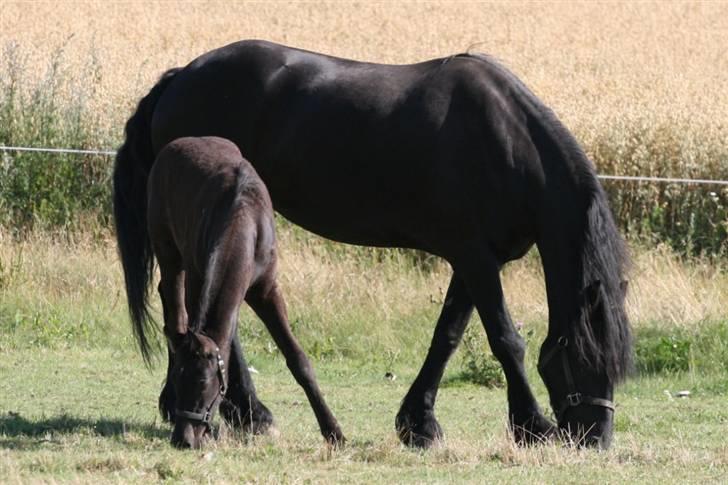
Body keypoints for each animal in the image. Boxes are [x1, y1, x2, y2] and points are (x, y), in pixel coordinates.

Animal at [114, 39, 632, 448]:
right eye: (589, 358)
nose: (597, 438)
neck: (506, 142)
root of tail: (180, 77)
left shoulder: (475, 261)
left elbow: (447, 337)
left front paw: (418, 423)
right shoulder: (476, 259)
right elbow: (505, 339)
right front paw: (532, 425)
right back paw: (248, 413)